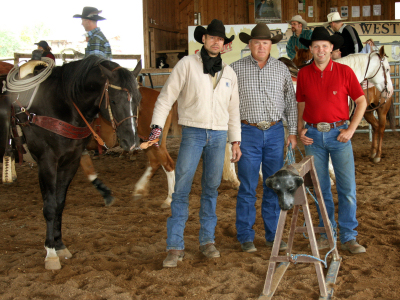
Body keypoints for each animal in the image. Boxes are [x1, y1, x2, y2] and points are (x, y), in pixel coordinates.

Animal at [0, 56, 142, 270]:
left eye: (138, 99)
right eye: (114, 100)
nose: (131, 142)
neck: (62, 104)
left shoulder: (70, 161)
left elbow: (60, 203)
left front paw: (59, 245)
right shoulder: (47, 162)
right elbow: (50, 206)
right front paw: (50, 253)